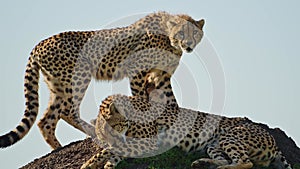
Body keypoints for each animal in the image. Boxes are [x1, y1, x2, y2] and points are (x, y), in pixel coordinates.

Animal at [0, 11, 204, 149]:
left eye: (195, 33)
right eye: (181, 33)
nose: (189, 45)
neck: (169, 39)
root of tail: (39, 44)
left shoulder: (161, 77)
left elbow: (171, 101)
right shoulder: (137, 71)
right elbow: (140, 99)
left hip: (58, 86)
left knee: (46, 120)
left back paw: (58, 147)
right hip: (78, 76)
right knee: (68, 110)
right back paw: (93, 132)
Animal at [81, 94, 290, 168]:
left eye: (118, 125)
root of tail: (272, 140)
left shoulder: (148, 143)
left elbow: (110, 150)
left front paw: (88, 163)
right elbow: (114, 152)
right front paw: (102, 165)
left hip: (228, 136)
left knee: (245, 163)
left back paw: (219, 167)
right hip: (213, 145)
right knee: (228, 159)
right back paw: (204, 163)